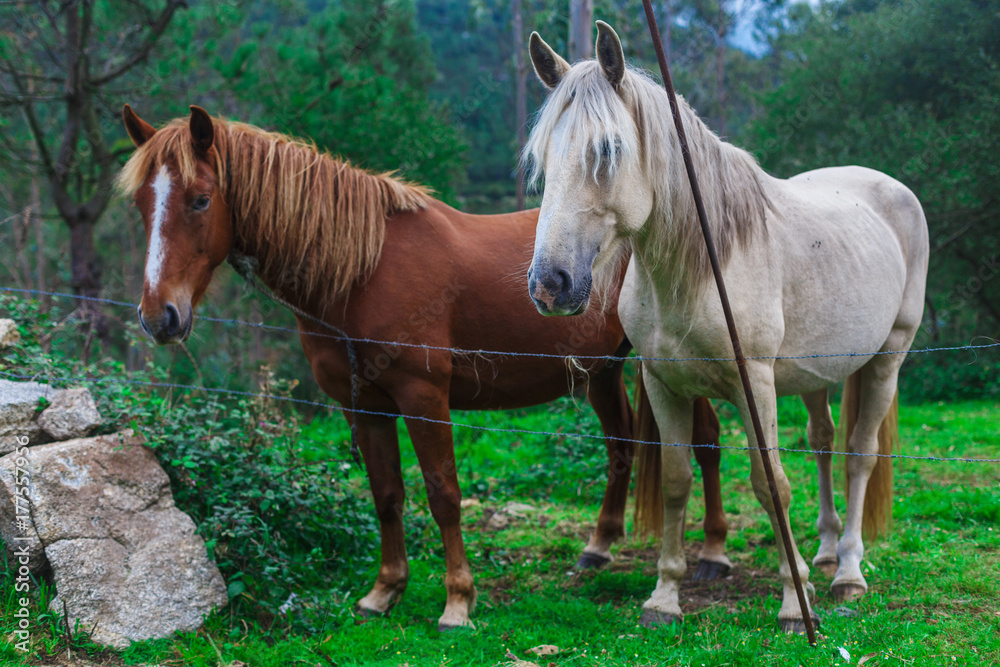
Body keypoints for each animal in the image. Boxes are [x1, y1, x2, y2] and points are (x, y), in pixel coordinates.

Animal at [115, 104, 733, 630]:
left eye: (200, 200)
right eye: (142, 205)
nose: (159, 316)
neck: (364, 271)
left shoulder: (424, 398)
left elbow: (443, 495)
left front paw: (457, 602)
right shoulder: (364, 406)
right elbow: (386, 495)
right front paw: (384, 592)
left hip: (673, 367)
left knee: (706, 442)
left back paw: (713, 553)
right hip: (601, 369)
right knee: (621, 445)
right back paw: (598, 547)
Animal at [523, 22, 928, 633]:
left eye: (608, 149)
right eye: (543, 155)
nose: (550, 283)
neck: (698, 268)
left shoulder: (754, 385)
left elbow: (771, 484)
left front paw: (795, 605)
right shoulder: (664, 385)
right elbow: (676, 480)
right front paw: (664, 597)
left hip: (888, 360)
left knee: (859, 454)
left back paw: (847, 573)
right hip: (814, 377)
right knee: (824, 442)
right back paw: (827, 550)